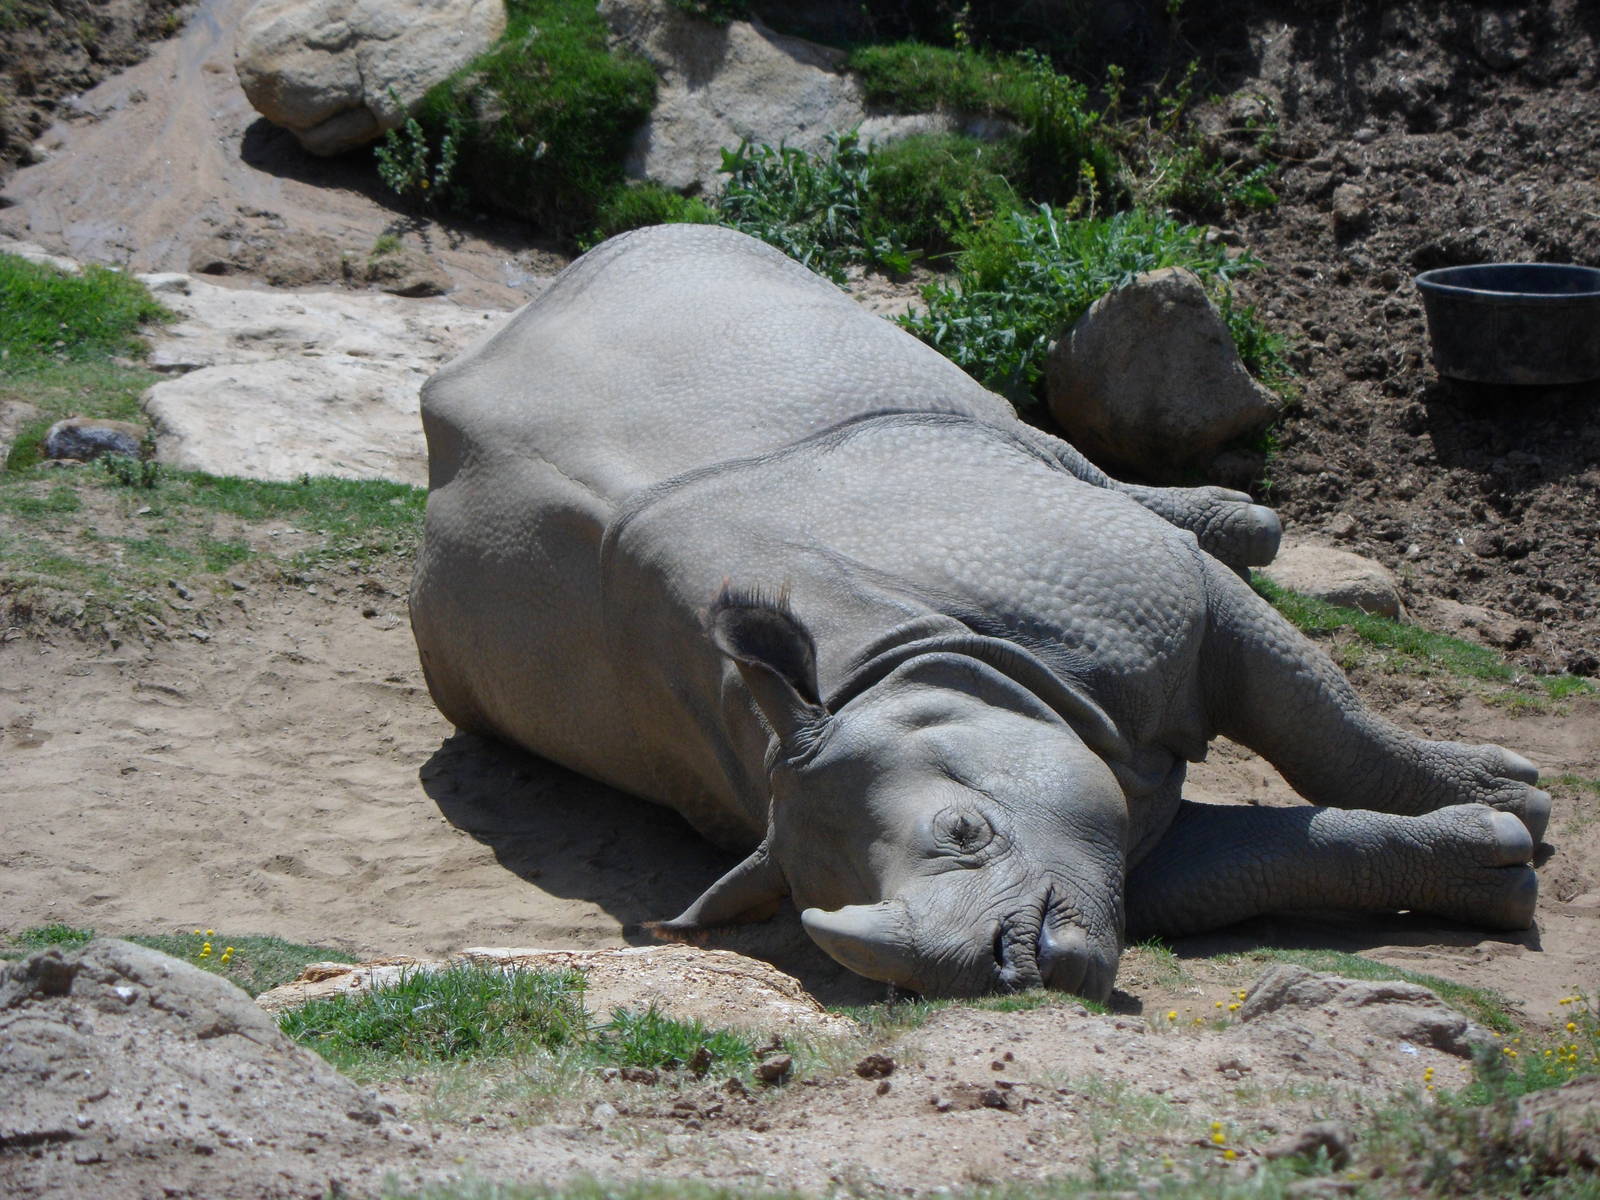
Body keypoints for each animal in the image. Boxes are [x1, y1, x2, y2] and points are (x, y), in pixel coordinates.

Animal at [409, 224, 1548, 1001]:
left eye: (963, 831)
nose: (1007, 972)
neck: (906, 666)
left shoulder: (1151, 597)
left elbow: (1319, 718)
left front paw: (1516, 799)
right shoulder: (1107, 848)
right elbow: (1259, 862)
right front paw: (1495, 867)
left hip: (741, 284)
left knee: (1024, 433)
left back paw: (1244, 529)